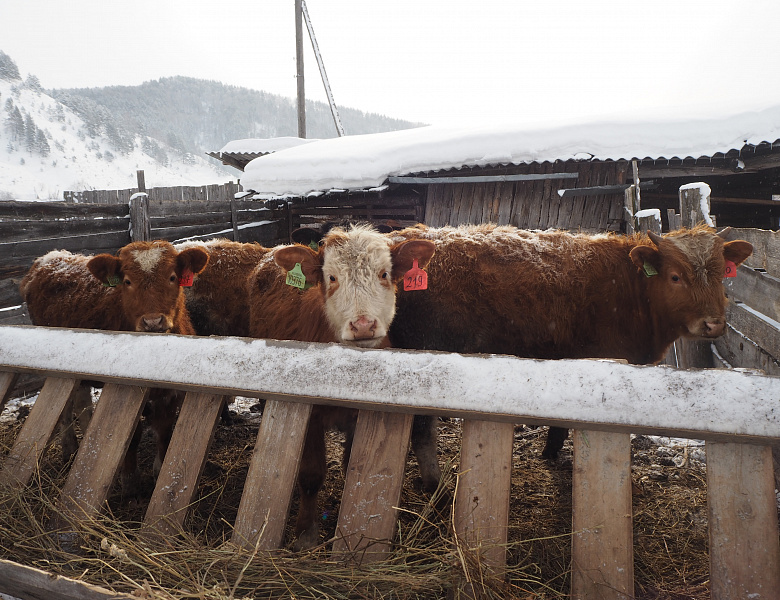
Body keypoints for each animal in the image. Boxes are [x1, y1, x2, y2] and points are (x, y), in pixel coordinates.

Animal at [20, 240, 210, 492]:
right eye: (127, 281)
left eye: (172, 277)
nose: (153, 321)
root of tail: (52, 257)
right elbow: (132, 434)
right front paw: (129, 478)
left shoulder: (172, 393)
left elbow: (164, 430)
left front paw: (159, 470)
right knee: (66, 407)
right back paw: (69, 448)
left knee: (82, 401)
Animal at [247, 224, 436, 548]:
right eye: (332, 278)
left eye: (384, 274)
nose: (363, 325)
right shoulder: (309, 416)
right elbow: (311, 475)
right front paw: (306, 533)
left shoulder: (359, 417)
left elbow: (352, 467)